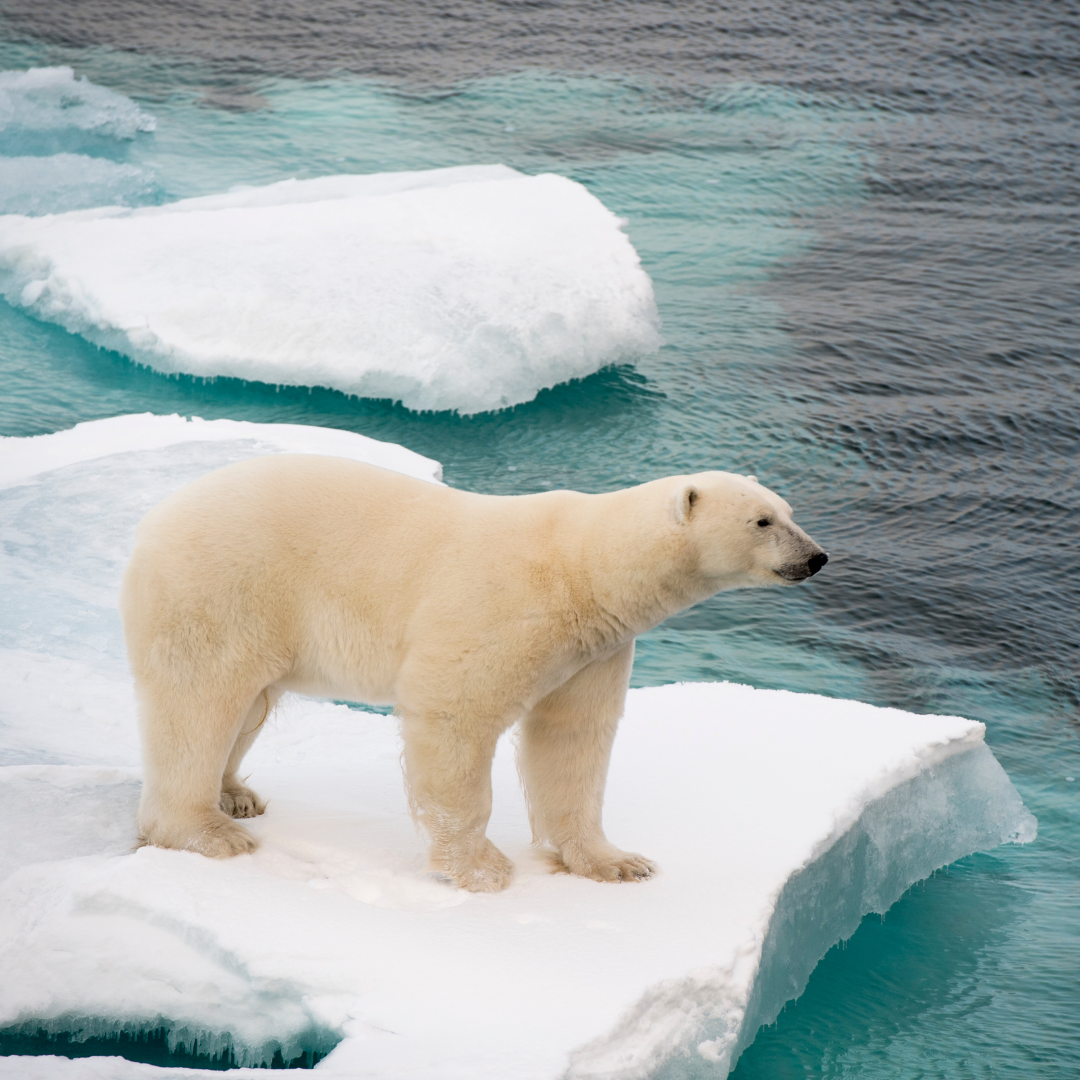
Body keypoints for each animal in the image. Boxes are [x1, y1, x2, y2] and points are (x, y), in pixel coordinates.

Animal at [120, 451, 825, 889]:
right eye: (762, 520)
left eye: (790, 510)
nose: (816, 557)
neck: (583, 569)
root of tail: (154, 519)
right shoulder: (504, 607)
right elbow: (455, 714)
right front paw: (481, 870)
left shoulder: (593, 648)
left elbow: (573, 739)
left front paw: (615, 862)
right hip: (221, 588)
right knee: (201, 700)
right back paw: (205, 831)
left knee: (248, 707)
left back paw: (235, 794)